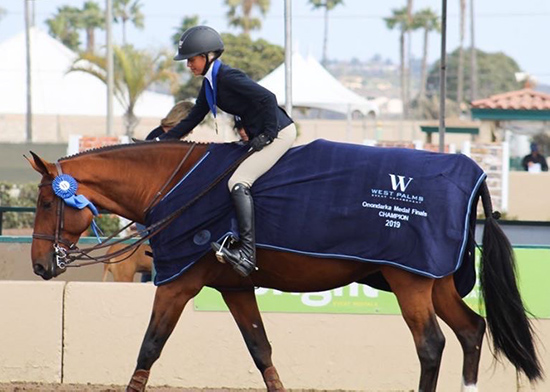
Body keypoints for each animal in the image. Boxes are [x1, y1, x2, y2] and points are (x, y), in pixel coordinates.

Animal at [27, 142, 544, 392]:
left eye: (49, 202)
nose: (38, 265)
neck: (173, 186)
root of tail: (472, 173)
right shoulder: (234, 288)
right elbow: (261, 351)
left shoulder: (178, 286)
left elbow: (149, 348)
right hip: (437, 283)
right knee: (471, 331)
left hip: (411, 283)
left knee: (432, 344)